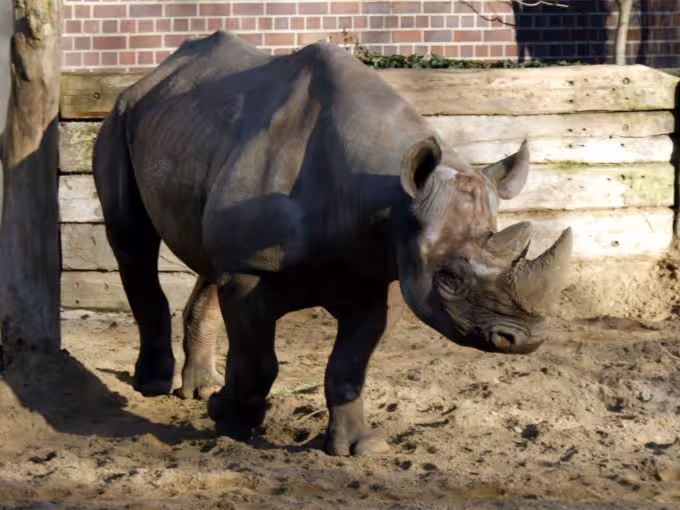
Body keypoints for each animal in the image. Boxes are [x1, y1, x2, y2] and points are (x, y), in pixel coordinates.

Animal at [93, 31, 572, 456]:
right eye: (450, 277)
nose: (524, 339)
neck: (389, 198)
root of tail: (154, 76)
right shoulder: (251, 272)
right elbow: (258, 362)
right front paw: (229, 422)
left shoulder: (377, 274)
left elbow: (348, 367)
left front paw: (356, 448)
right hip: (119, 117)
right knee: (133, 245)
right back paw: (153, 386)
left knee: (208, 260)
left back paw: (199, 387)